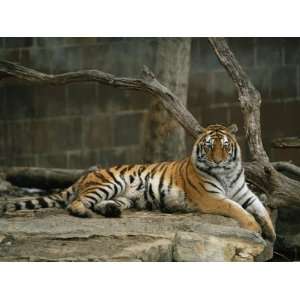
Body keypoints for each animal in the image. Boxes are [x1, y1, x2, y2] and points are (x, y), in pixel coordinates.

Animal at [0, 124, 276, 241]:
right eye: (209, 147)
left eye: (225, 147)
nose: (217, 160)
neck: (227, 173)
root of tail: (83, 176)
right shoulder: (211, 197)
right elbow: (235, 208)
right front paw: (254, 228)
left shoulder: (244, 193)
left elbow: (261, 207)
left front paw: (271, 232)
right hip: (108, 184)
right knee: (76, 202)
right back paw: (84, 213)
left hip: (124, 195)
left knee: (100, 203)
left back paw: (111, 211)